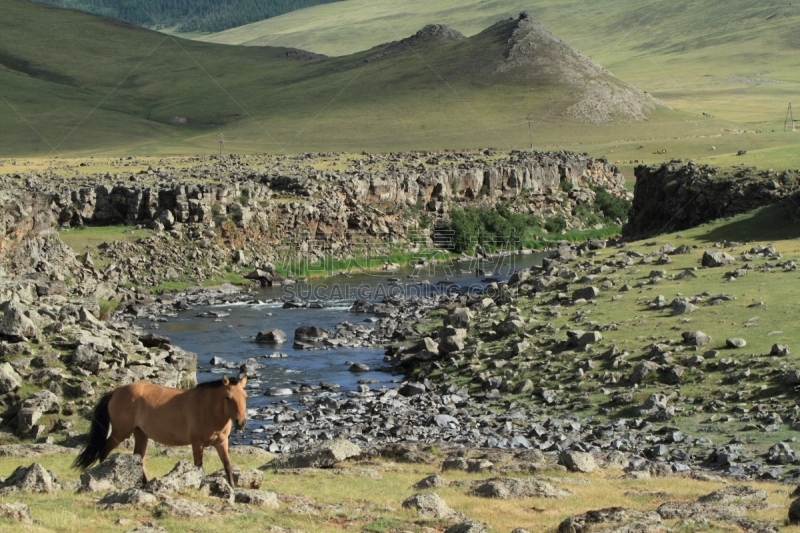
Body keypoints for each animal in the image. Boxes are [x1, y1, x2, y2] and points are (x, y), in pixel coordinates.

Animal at [76, 374, 250, 486]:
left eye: (245, 397)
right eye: (228, 398)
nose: (240, 423)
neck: (208, 408)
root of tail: (116, 391)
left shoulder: (221, 442)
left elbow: (227, 465)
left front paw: (232, 488)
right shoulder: (197, 444)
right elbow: (198, 467)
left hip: (141, 434)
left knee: (139, 457)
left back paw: (145, 483)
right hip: (120, 432)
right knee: (104, 451)